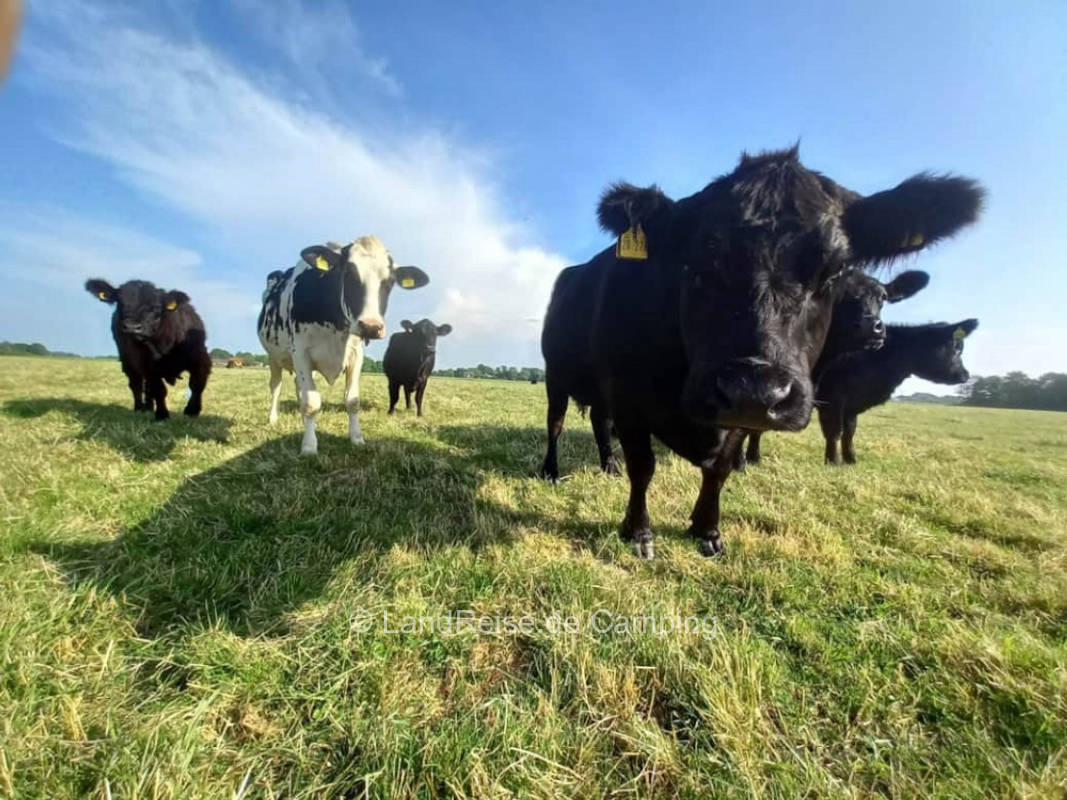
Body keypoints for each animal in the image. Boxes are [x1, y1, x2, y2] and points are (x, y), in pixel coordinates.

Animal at [84, 279, 211, 422]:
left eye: (155, 307)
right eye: (120, 302)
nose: (131, 327)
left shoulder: (201, 359)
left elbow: (197, 384)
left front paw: (192, 410)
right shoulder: (147, 366)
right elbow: (159, 390)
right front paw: (162, 414)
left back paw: (149, 407)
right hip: (127, 361)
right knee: (137, 385)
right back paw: (140, 408)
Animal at [256, 234, 426, 454]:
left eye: (389, 282)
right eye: (348, 274)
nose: (371, 326)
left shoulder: (356, 354)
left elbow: (352, 401)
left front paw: (356, 438)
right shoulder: (300, 352)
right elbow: (311, 402)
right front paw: (309, 446)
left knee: (298, 389)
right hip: (273, 357)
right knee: (276, 387)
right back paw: (273, 418)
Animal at [815, 317, 977, 462]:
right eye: (955, 347)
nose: (966, 375)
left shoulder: (851, 405)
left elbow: (849, 432)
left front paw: (851, 460)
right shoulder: (833, 398)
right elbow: (834, 432)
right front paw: (833, 462)